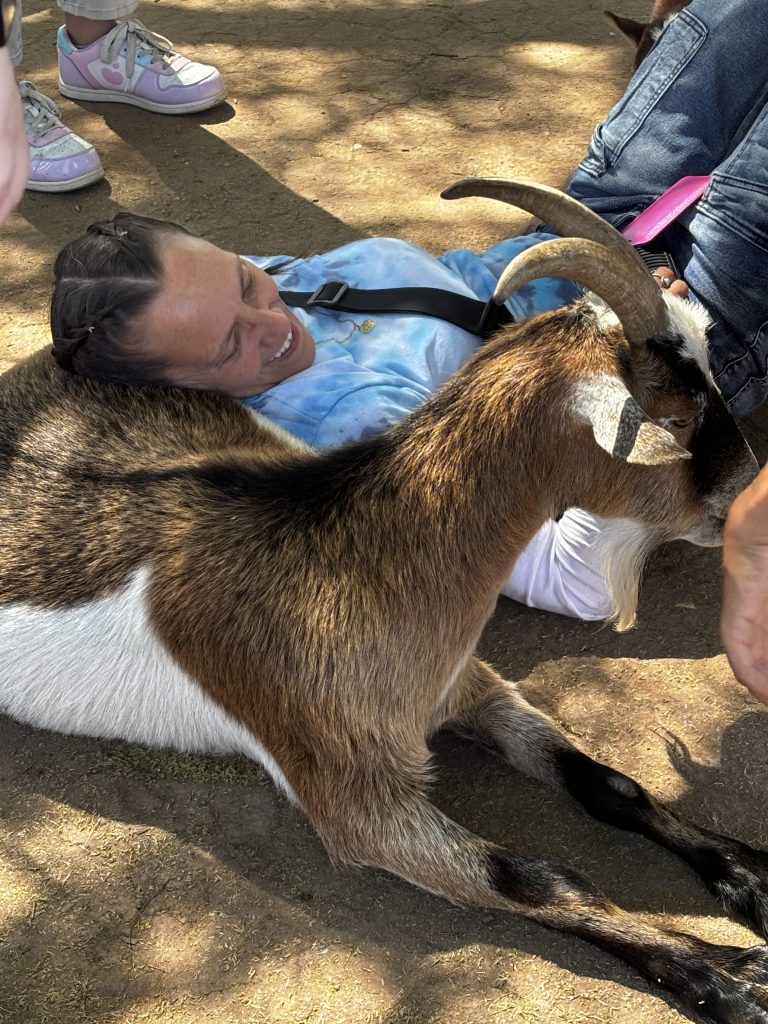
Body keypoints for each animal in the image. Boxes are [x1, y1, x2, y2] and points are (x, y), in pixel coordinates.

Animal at [1, 179, 767, 1023]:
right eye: (678, 419)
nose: (743, 490)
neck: (353, 556)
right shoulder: (356, 802)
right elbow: (537, 879)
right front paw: (724, 977)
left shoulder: (467, 684)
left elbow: (610, 784)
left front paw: (751, 878)